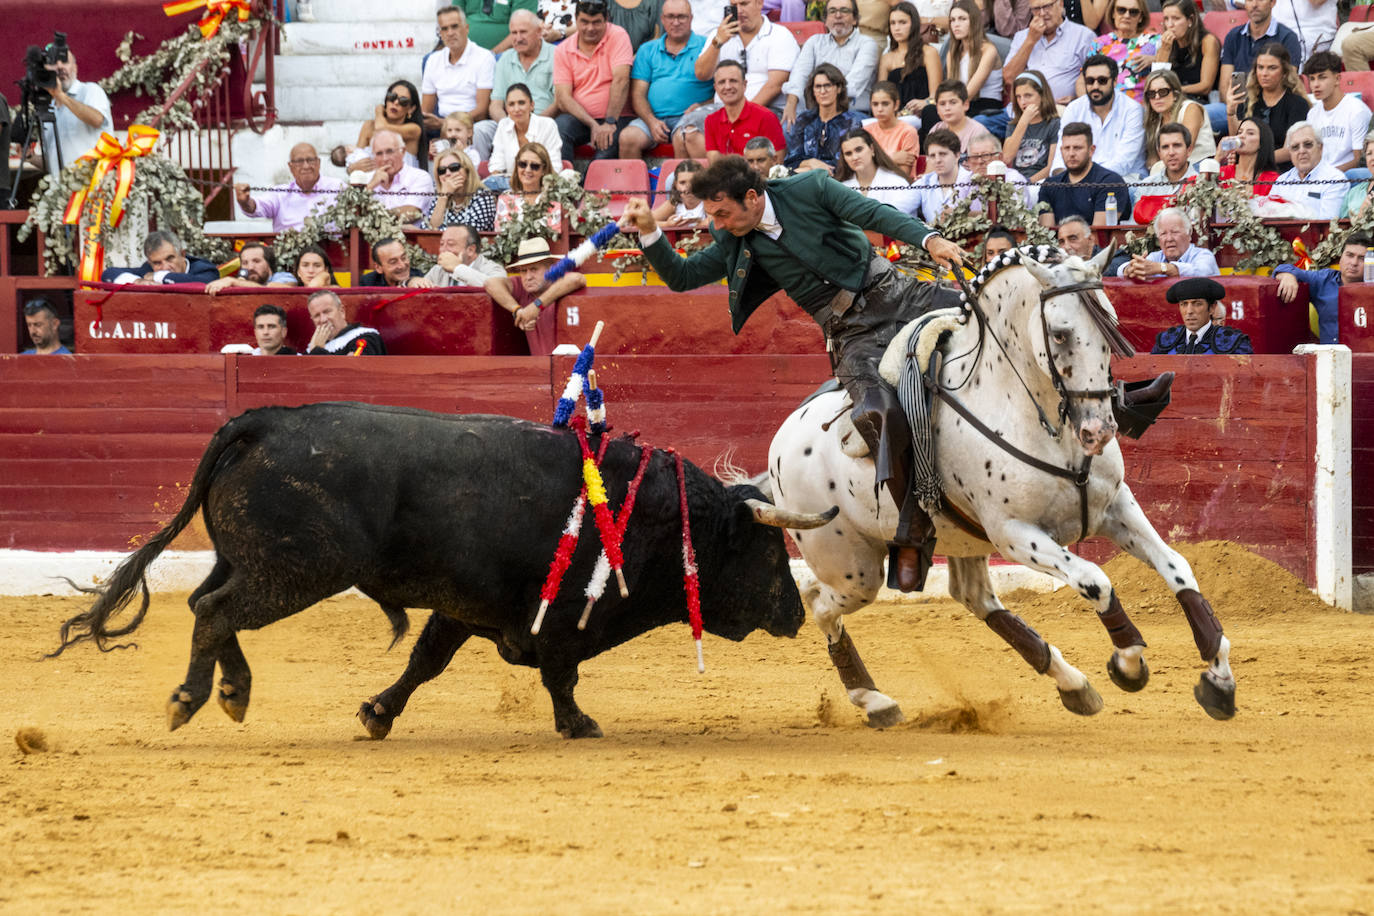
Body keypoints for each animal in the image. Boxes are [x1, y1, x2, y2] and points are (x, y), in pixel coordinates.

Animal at [50, 401, 835, 736]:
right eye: (769, 550)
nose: (796, 613)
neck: (651, 514)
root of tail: (263, 419)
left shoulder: (464, 608)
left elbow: (424, 662)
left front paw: (376, 713)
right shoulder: (555, 619)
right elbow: (560, 674)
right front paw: (579, 724)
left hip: (250, 563)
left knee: (207, 609)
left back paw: (232, 692)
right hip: (296, 572)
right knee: (216, 612)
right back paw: (192, 699)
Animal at [774, 245, 1236, 730]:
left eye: (1110, 324)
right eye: (1060, 334)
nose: (1099, 430)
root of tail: (782, 439)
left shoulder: (1116, 507)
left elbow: (1177, 567)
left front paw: (1219, 678)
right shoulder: (1014, 533)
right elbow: (1096, 580)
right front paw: (1128, 664)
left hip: (958, 540)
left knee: (975, 597)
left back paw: (1072, 684)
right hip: (853, 569)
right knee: (819, 603)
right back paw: (875, 700)